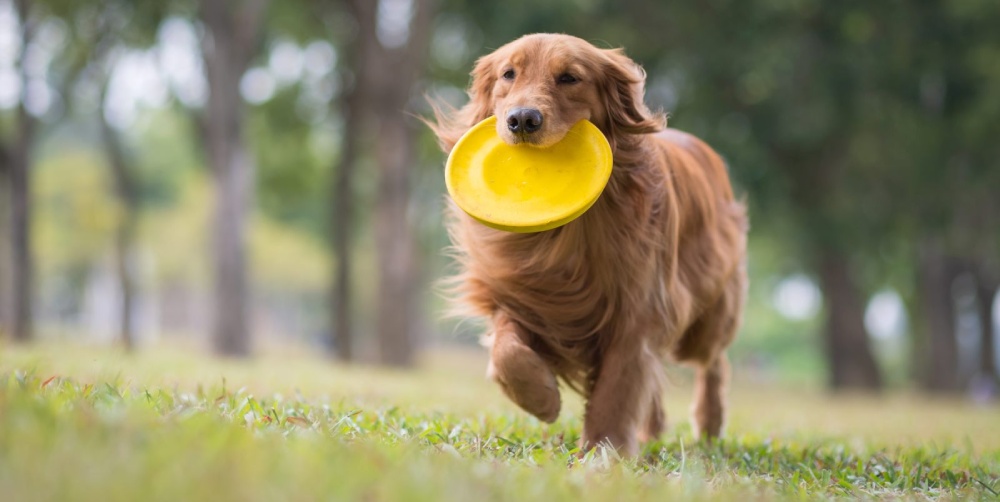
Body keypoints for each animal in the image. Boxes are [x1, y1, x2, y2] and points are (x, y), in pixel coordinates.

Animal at [426, 32, 748, 454]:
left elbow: (617, 388)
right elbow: (507, 350)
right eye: (508, 74)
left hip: (706, 316)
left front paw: (603, 450)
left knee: (714, 362)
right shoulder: (522, 295)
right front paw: (541, 398)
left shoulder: (637, 307)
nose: (522, 119)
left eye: (569, 77)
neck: (567, 233)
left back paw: (709, 425)